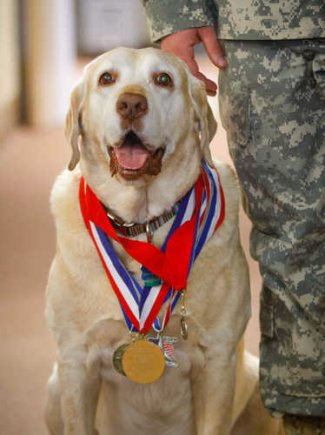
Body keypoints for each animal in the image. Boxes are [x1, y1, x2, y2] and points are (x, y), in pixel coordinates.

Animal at [43, 47, 280, 435]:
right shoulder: (75, 360)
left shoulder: (218, 361)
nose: (131, 104)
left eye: (163, 79)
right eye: (106, 78)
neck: (140, 224)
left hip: (257, 380)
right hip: (53, 387)